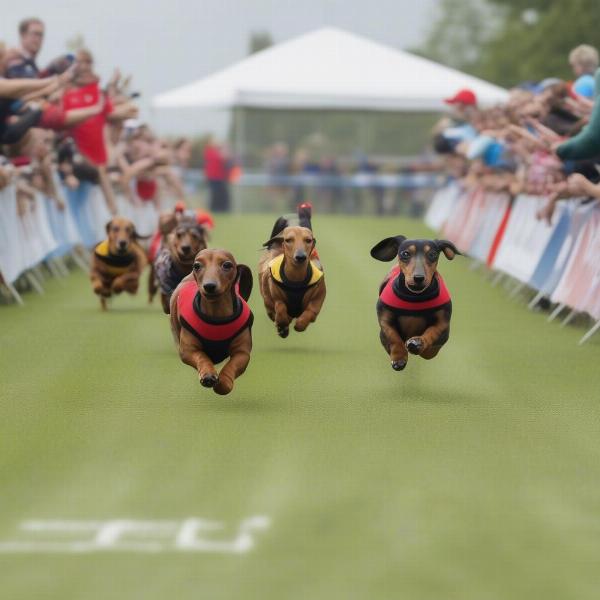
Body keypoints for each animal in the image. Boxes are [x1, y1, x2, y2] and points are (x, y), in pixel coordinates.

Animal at [169, 246, 253, 396]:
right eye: (197, 265)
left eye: (227, 265)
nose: (209, 286)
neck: (217, 314)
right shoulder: (188, 351)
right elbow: (202, 357)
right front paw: (208, 374)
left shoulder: (242, 353)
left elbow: (232, 366)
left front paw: (223, 382)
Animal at [256, 204, 326, 338]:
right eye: (288, 240)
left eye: (308, 240)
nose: (300, 256)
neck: (296, 280)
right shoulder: (272, 298)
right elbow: (279, 307)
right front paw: (282, 325)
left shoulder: (318, 296)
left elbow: (311, 311)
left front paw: (300, 324)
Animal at [370, 236, 460, 370]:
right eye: (405, 253)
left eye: (433, 254)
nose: (418, 278)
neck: (414, 297)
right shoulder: (384, 321)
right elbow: (392, 336)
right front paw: (399, 357)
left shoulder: (443, 324)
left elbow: (432, 334)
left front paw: (417, 343)